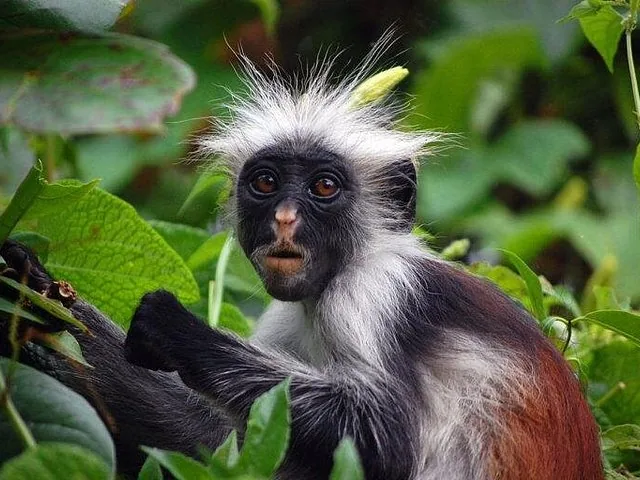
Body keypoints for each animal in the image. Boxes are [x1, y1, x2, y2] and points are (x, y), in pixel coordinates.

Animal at [0, 48, 603, 480]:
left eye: (324, 187)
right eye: (267, 183)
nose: (285, 219)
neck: (341, 271)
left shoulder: (376, 293)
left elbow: (387, 438)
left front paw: (174, 329)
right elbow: (216, 443)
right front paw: (32, 296)